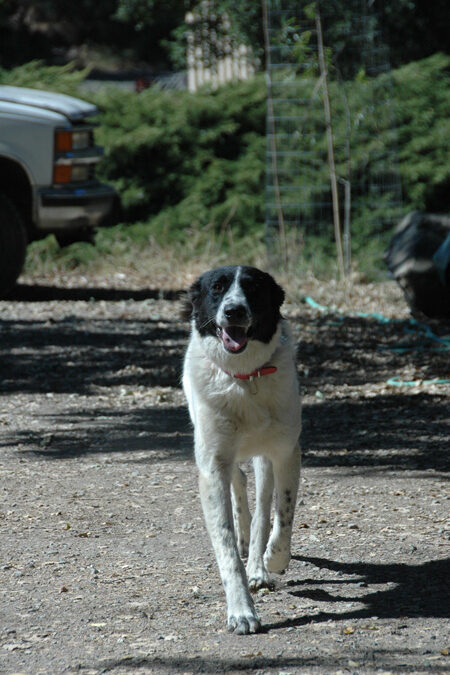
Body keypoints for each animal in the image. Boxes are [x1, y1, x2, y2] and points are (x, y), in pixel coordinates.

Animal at [181, 264, 300, 632]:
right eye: (217, 289)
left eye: (252, 288)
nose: (234, 311)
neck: (244, 379)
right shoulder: (212, 464)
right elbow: (226, 546)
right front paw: (241, 611)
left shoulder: (285, 453)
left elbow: (282, 516)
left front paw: (272, 560)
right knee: (239, 484)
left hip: (264, 459)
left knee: (262, 507)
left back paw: (259, 565)